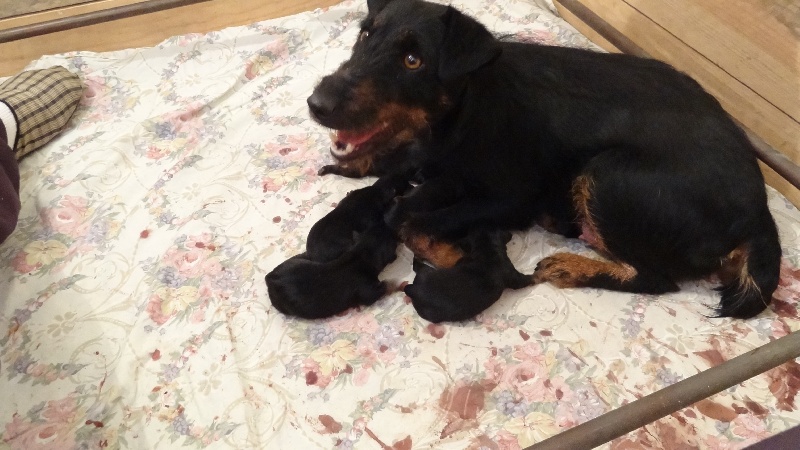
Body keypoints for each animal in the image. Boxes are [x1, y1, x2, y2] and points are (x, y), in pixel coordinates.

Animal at [308, 0, 780, 318]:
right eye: (365, 35)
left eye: (412, 60)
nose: (316, 104)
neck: (468, 108)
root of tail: (760, 215)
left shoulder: (512, 198)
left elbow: (413, 222)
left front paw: (458, 258)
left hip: (609, 175)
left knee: (656, 278)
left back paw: (571, 267)